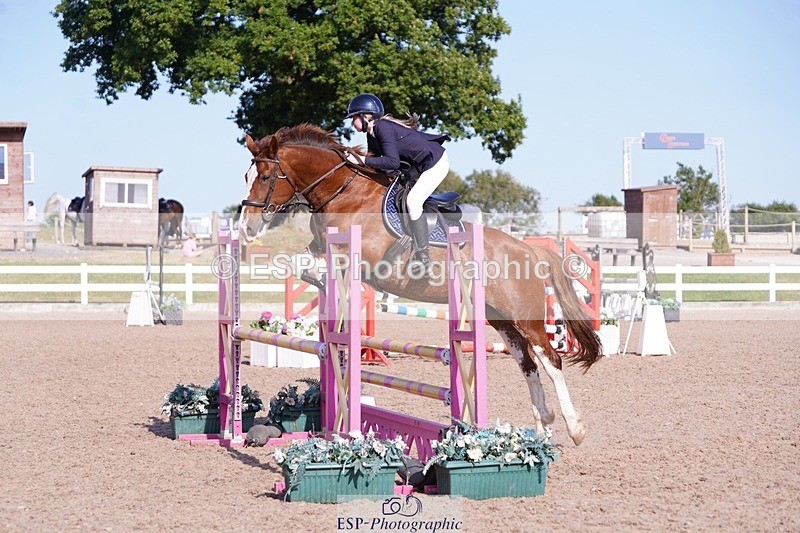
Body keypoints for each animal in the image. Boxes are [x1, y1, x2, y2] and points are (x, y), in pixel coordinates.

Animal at [239, 124, 603, 446]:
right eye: (247, 176)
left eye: (266, 177)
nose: (247, 227)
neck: (345, 195)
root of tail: (528, 249)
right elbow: (295, 264)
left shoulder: (361, 259)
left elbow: (308, 266)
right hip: (500, 319)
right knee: (527, 363)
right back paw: (543, 429)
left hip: (526, 317)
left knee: (550, 360)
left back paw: (574, 428)